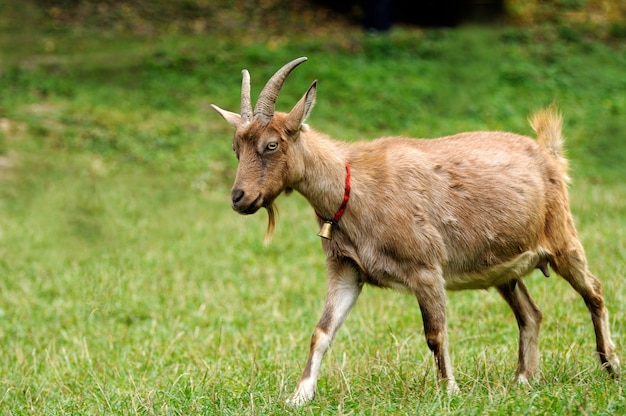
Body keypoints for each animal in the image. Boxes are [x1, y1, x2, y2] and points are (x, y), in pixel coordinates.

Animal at [211, 57, 620, 404]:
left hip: (563, 237)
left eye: (271, 144)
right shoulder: (346, 270)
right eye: (235, 148)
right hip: (503, 267)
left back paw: (611, 365)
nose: (239, 197)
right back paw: (522, 379)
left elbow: (435, 333)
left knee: (594, 291)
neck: (352, 185)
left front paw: (449, 391)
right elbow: (322, 332)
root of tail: (549, 154)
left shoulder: (425, 269)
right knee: (531, 313)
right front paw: (299, 396)